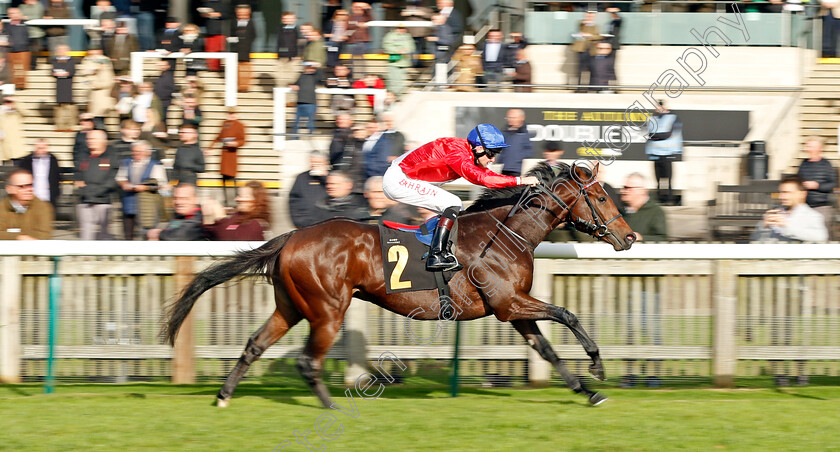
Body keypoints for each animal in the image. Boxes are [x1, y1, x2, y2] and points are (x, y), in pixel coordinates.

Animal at [162, 162, 636, 406]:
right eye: (600, 196)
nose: (629, 237)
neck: (505, 233)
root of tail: (290, 237)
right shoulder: (510, 303)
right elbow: (567, 314)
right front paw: (597, 366)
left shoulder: (512, 308)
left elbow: (548, 349)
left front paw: (588, 391)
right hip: (327, 310)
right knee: (308, 362)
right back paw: (331, 404)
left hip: (291, 306)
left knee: (254, 344)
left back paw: (224, 395)